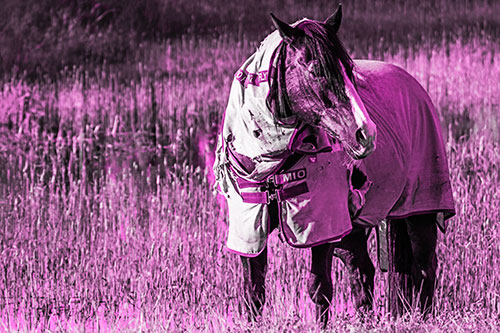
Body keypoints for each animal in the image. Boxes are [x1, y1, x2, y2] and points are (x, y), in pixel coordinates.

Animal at [213, 4, 456, 326]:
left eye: (350, 70)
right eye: (317, 69)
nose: (366, 134)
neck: (274, 160)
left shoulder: (323, 225)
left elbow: (319, 288)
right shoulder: (251, 226)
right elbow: (253, 291)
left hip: (419, 211)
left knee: (425, 266)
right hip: (353, 229)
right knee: (362, 270)